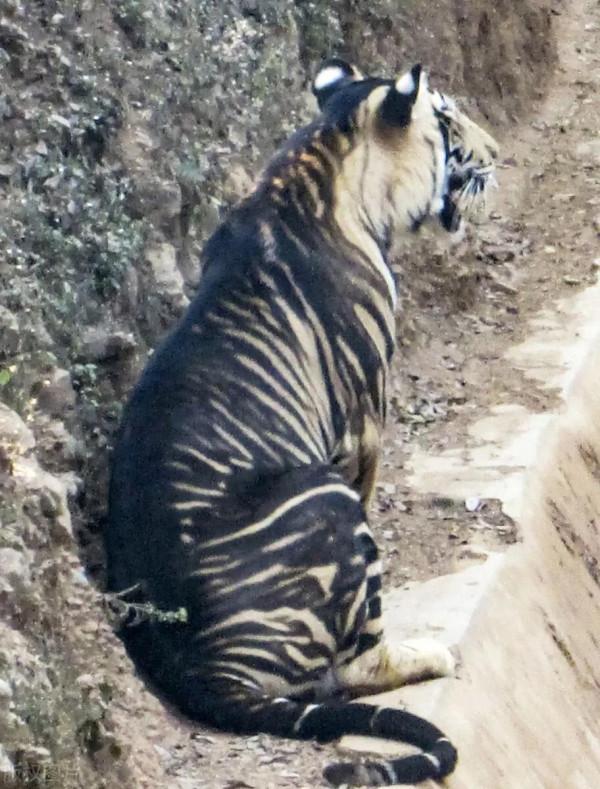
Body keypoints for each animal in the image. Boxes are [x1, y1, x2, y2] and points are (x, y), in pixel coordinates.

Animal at [104, 58, 498, 786]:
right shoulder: (365, 421)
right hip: (324, 497)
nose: (496, 153)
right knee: (356, 664)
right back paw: (428, 653)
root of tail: (200, 669)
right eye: (448, 117)